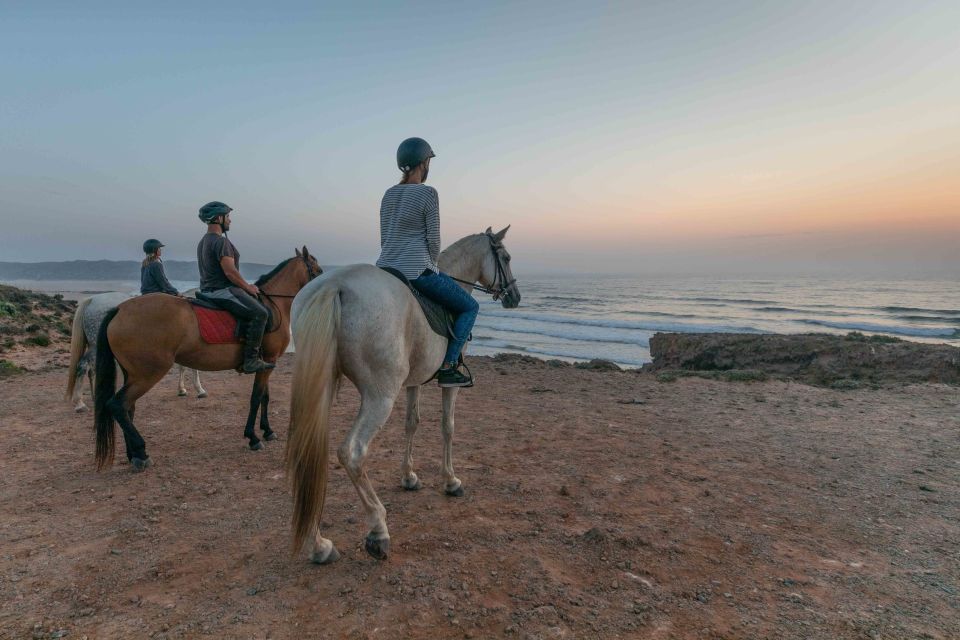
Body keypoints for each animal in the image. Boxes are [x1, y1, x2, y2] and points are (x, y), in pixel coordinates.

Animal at [65, 288, 206, 410]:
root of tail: (92, 299)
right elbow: (192, 368)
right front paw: (199, 390)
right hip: (96, 345)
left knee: (91, 368)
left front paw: (182, 389)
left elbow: (184, 367)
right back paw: (80, 403)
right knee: (83, 366)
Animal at [96, 245, 322, 470]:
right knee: (118, 405)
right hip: (148, 374)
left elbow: (265, 397)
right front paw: (253, 437)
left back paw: (133, 454)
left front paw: (267, 431)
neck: (273, 304)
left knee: (128, 407)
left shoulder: (267, 362)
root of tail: (120, 309)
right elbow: (256, 398)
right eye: (318, 271)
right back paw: (141, 452)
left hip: (133, 374)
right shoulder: (268, 360)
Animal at [288, 228, 520, 564]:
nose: (515, 296)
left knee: (307, 449)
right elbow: (447, 427)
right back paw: (378, 529)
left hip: (322, 388)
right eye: (506, 257)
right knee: (352, 453)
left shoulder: (414, 382)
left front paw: (409, 476)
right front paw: (450, 481)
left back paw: (318, 544)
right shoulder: (448, 385)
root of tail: (335, 284)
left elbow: (412, 423)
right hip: (380, 395)